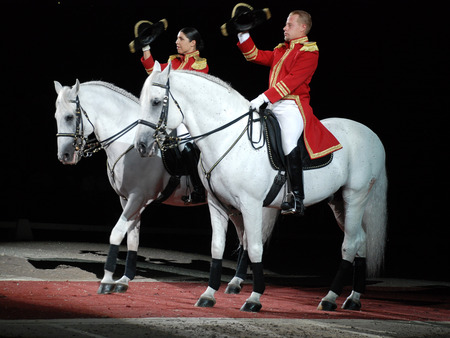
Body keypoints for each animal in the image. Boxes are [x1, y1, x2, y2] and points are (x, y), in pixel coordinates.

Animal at [53, 79, 278, 294]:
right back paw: (236, 282)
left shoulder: (138, 197)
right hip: (232, 205)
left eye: (70, 117)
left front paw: (107, 280)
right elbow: (133, 237)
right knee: (244, 238)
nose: (65, 156)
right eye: (56, 117)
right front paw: (124, 280)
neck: (129, 142)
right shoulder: (127, 199)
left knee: (250, 239)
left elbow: (117, 233)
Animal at [135, 62, 388, 312]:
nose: (141, 146)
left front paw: (254, 298)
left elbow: (255, 247)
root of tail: (371, 134)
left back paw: (330, 297)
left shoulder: (252, 205)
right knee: (360, 240)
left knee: (350, 243)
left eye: (155, 102)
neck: (228, 139)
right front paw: (208, 295)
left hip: (355, 197)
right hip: (338, 202)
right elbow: (217, 246)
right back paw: (353, 298)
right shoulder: (216, 204)